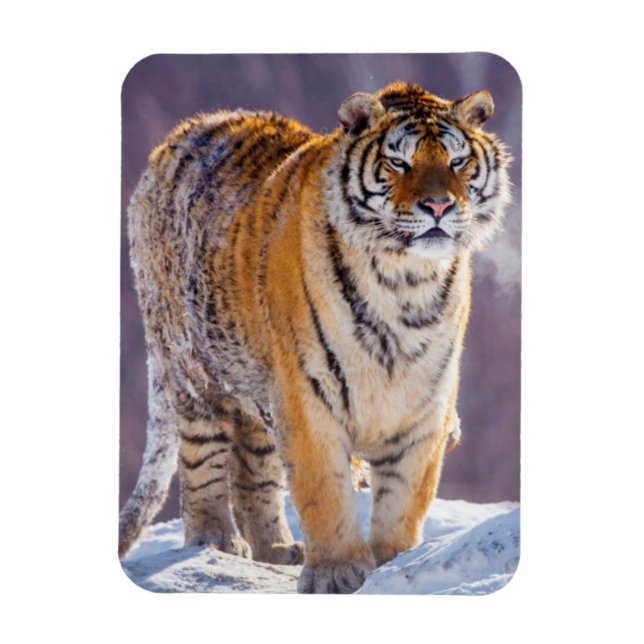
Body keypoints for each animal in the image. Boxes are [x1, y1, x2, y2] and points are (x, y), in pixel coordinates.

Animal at [119, 82, 512, 594]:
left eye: (457, 161)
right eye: (399, 162)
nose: (439, 207)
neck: (405, 283)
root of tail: (179, 135)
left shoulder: (425, 401)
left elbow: (406, 495)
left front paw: (396, 563)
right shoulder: (307, 392)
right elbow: (324, 488)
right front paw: (337, 572)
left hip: (255, 385)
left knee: (254, 470)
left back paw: (276, 548)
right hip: (194, 374)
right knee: (202, 461)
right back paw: (216, 541)